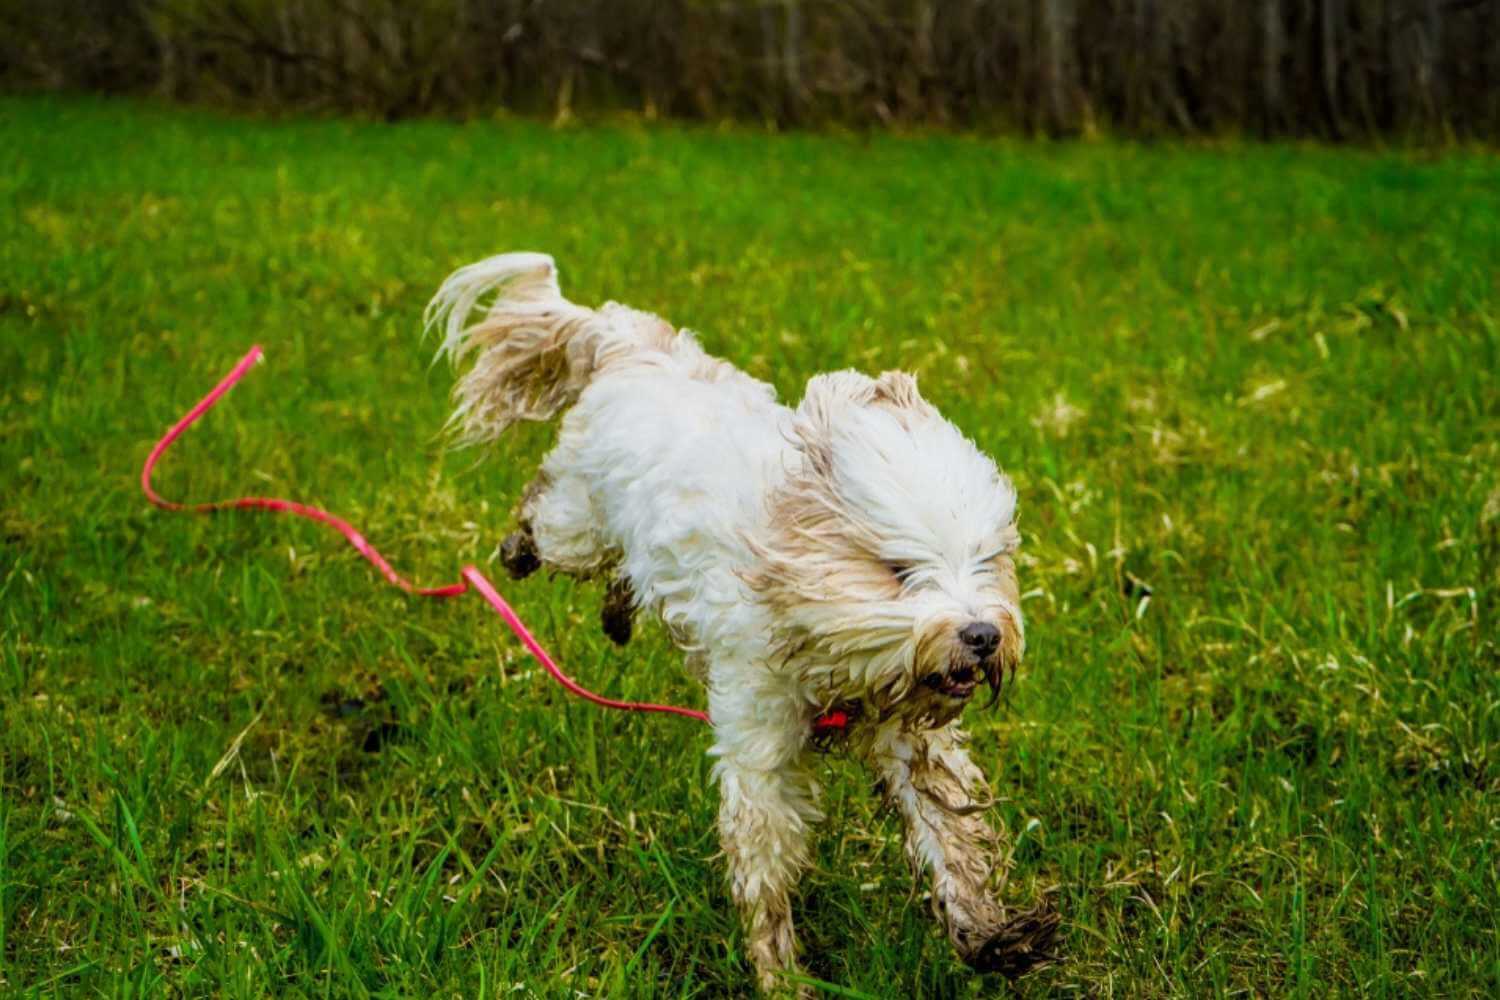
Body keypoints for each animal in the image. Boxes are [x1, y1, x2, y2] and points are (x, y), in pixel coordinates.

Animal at [426, 251, 1056, 995]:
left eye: (988, 560)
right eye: (898, 570)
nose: (983, 636)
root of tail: (633, 345)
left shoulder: (909, 740)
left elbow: (948, 837)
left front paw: (989, 935)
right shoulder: (760, 747)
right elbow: (765, 869)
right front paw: (781, 974)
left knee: (621, 573)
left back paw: (617, 613)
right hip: (579, 520)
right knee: (545, 513)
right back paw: (519, 550)